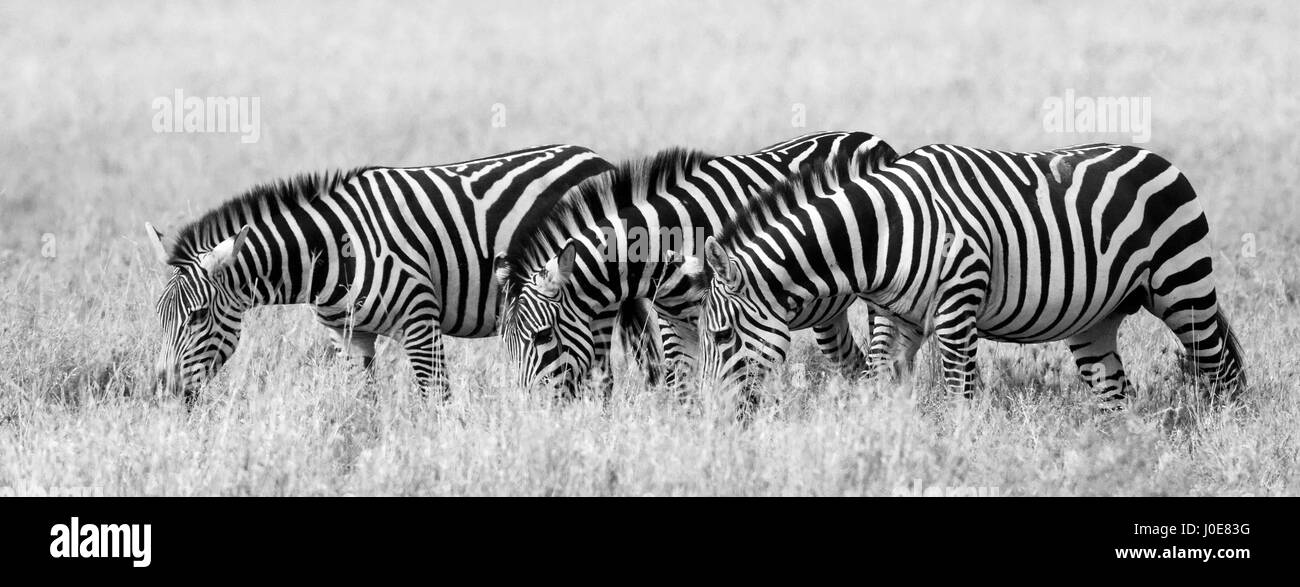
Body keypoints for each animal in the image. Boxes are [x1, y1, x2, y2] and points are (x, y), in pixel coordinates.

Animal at [142, 142, 618, 399]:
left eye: (197, 316)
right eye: (159, 317)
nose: (164, 393)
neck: (334, 254)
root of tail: (596, 158)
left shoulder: (421, 322)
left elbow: (436, 399)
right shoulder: (349, 336)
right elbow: (361, 402)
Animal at [491, 131, 899, 399]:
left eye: (542, 337)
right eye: (506, 345)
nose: (530, 416)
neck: (668, 245)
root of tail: (869, 137)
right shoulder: (673, 321)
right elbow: (680, 384)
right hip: (830, 312)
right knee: (852, 362)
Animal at [691, 144, 1248, 407]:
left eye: (720, 335)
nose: (713, 416)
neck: (881, 233)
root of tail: (1160, 158)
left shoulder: (959, 302)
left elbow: (960, 392)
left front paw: (960, 450)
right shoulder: (895, 318)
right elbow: (877, 385)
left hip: (1182, 286)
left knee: (1219, 368)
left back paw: (1221, 431)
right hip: (1098, 318)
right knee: (1117, 394)